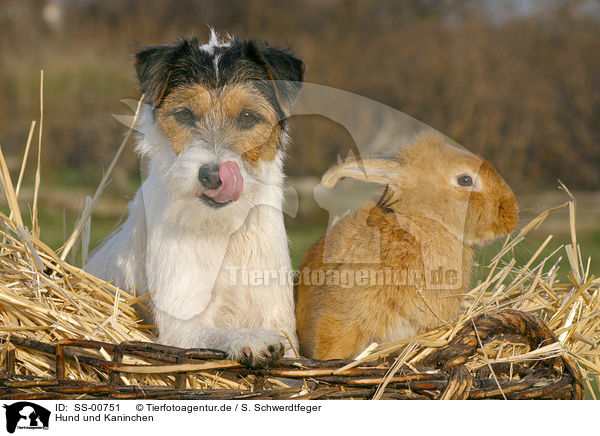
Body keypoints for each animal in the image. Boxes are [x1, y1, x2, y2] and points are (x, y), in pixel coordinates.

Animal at [84, 29, 304, 366]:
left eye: (248, 117)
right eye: (185, 114)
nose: (214, 176)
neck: (224, 230)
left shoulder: (280, 322)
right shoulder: (181, 327)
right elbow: (215, 334)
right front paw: (250, 339)